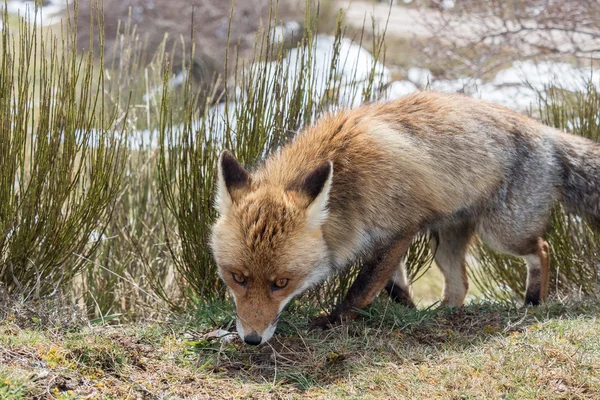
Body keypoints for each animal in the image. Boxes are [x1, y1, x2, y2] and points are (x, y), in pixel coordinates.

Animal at [210, 90, 600, 344]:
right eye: (237, 278)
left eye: (281, 283)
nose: (252, 339)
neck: (349, 178)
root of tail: (544, 131)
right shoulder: (384, 238)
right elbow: (393, 285)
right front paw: (409, 312)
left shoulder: (400, 228)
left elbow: (362, 287)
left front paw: (334, 322)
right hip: (445, 245)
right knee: (460, 286)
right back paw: (443, 315)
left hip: (502, 233)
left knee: (543, 248)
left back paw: (533, 301)